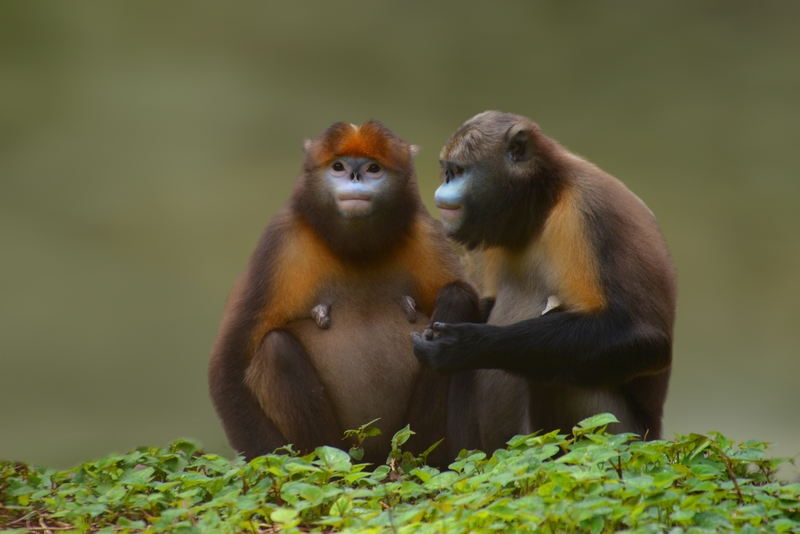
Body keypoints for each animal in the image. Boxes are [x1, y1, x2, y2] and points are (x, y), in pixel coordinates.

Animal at [209, 119, 478, 466]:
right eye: (338, 167)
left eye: (373, 168)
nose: (355, 177)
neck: (356, 251)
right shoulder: (280, 240)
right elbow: (229, 363)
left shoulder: (425, 232)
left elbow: (466, 297)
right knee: (276, 349)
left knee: (456, 298)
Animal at [412, 111, 676, 446]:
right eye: (448, 171)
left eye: (457, 171)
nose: (445, 181)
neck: (544, 201)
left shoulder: (588, 210)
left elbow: (643, 339)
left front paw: (467, 345)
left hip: (624, 434)